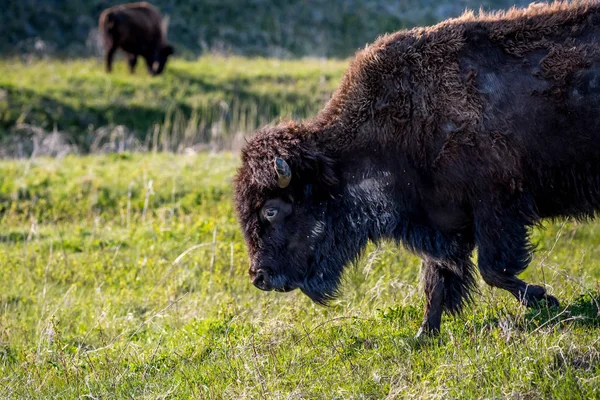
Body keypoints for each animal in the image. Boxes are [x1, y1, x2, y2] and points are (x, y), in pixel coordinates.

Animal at [232, 1, 600, 336]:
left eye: (271, 210)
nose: (259, 277)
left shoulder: (496, 207)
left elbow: (491, 269)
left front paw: (545, 299)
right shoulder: (443, 224)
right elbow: (437, 280)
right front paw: (424, 335)